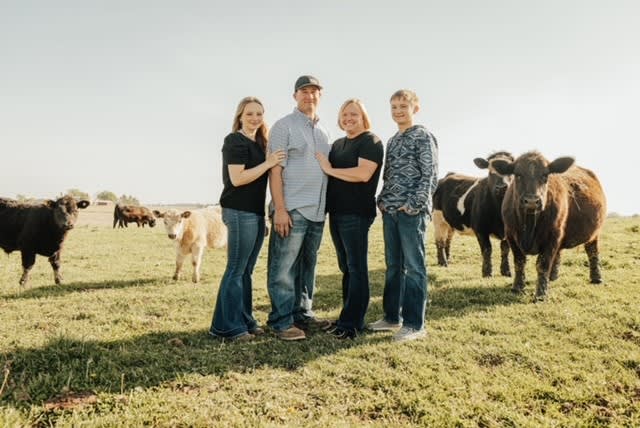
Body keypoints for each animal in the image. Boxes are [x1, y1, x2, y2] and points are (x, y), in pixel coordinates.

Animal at [430, 150, 516, 278]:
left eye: (511, 171)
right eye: (490, 171)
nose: (502, 188)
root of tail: (448, 175)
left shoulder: (509, 230)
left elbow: (505, 249)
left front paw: (506, 272)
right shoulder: (480, 229)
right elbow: (487, 249)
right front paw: (487, 273)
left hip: (450, 222)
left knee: (448, 240)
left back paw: (448, 259)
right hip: (438, 219)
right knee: (439, 241)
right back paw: (443, 262)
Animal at [492, 152, 608, 300]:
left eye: (545, 175)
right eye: (517, 175)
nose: (532, 201)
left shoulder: (552, 236)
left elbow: (543, 264)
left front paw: (541, 294)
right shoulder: (511, 235)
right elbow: (519, 261)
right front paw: (517, 287)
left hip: (593, 234)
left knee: (592, 251)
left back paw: (596, 278)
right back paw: (553, 277)